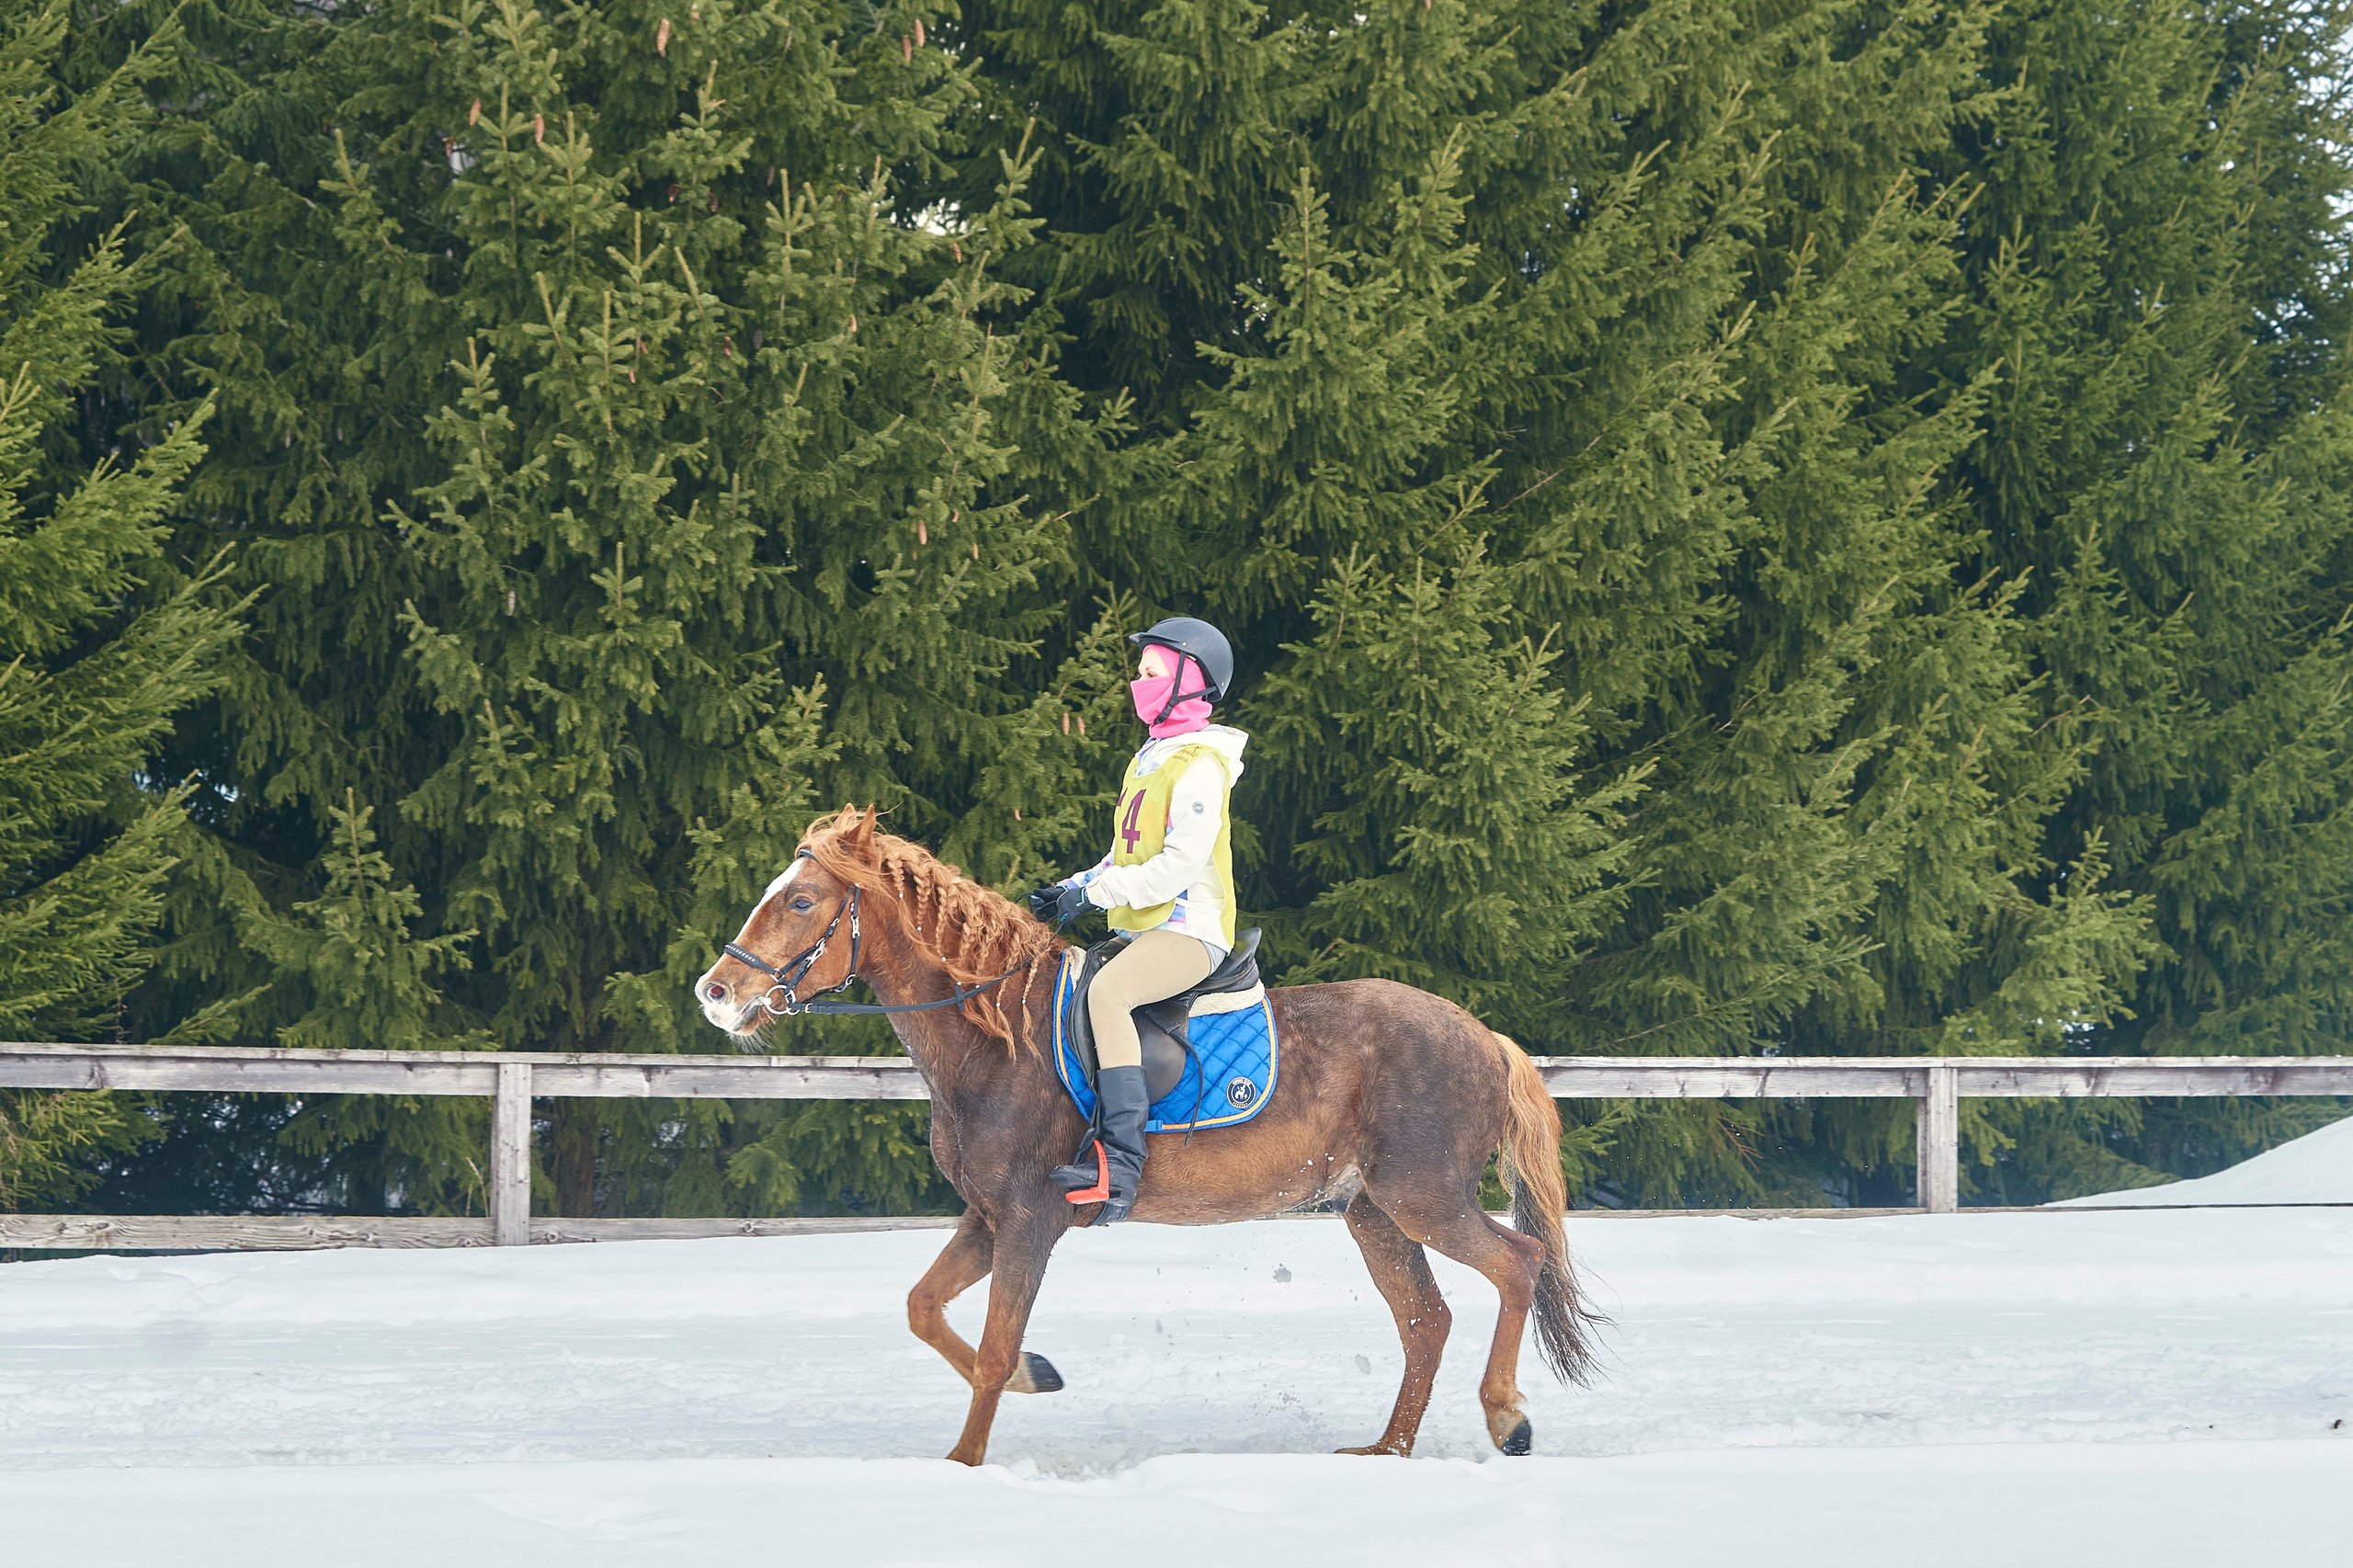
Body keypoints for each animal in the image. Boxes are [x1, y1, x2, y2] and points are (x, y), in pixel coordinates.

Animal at [694, 806, 1600, 1465]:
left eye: (802, 900)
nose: (716, 991)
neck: (997, 1040)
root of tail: (1486, 1038)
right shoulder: (988, 1218)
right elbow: (925, 1309)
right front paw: (1038, 1378)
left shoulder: (1030, 1222)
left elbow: (991, 1349)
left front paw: (964, 1465)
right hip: (1373, 1212)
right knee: (1426, 1322)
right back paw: (1386, 1452)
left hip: (1424, 1197)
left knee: (1516, 1265)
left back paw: (1506, 1418)